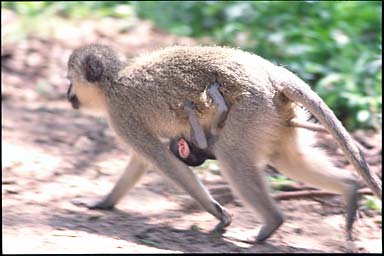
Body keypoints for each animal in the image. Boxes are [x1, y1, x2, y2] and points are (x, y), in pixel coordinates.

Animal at [67, 44, 380, 242]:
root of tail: (270, 72)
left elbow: (162, 160)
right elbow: (142, 160)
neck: (113, 81)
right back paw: (349, 190)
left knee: (232, 157)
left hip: (251, 107)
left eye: (70, 80)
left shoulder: (121, 116)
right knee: (287, 160)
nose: (67, 94)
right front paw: (104, 203)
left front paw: (218, 213)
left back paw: (270, 223)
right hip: (274, 113)